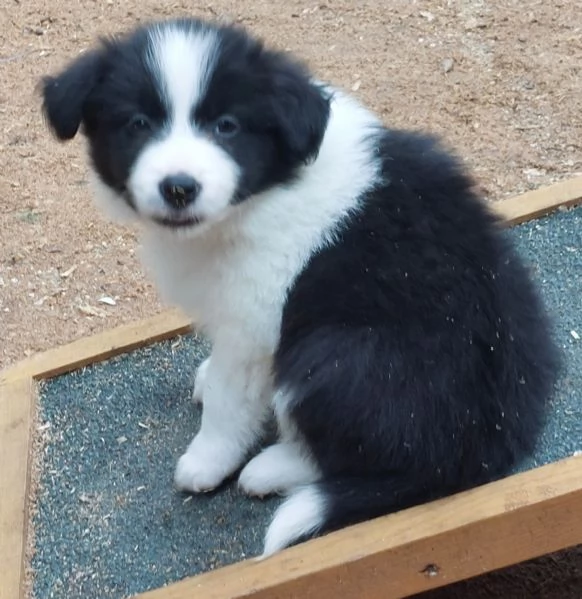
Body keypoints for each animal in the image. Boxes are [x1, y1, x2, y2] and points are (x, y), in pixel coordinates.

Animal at [41, 16, 560, 556]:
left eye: (227, 126)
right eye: (138, 124)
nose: (179, 187)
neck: (264, 192)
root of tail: (484, 445)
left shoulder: (258, 322)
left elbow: (229, 397)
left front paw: (206, 461)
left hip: (333, 353)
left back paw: (269, 469)